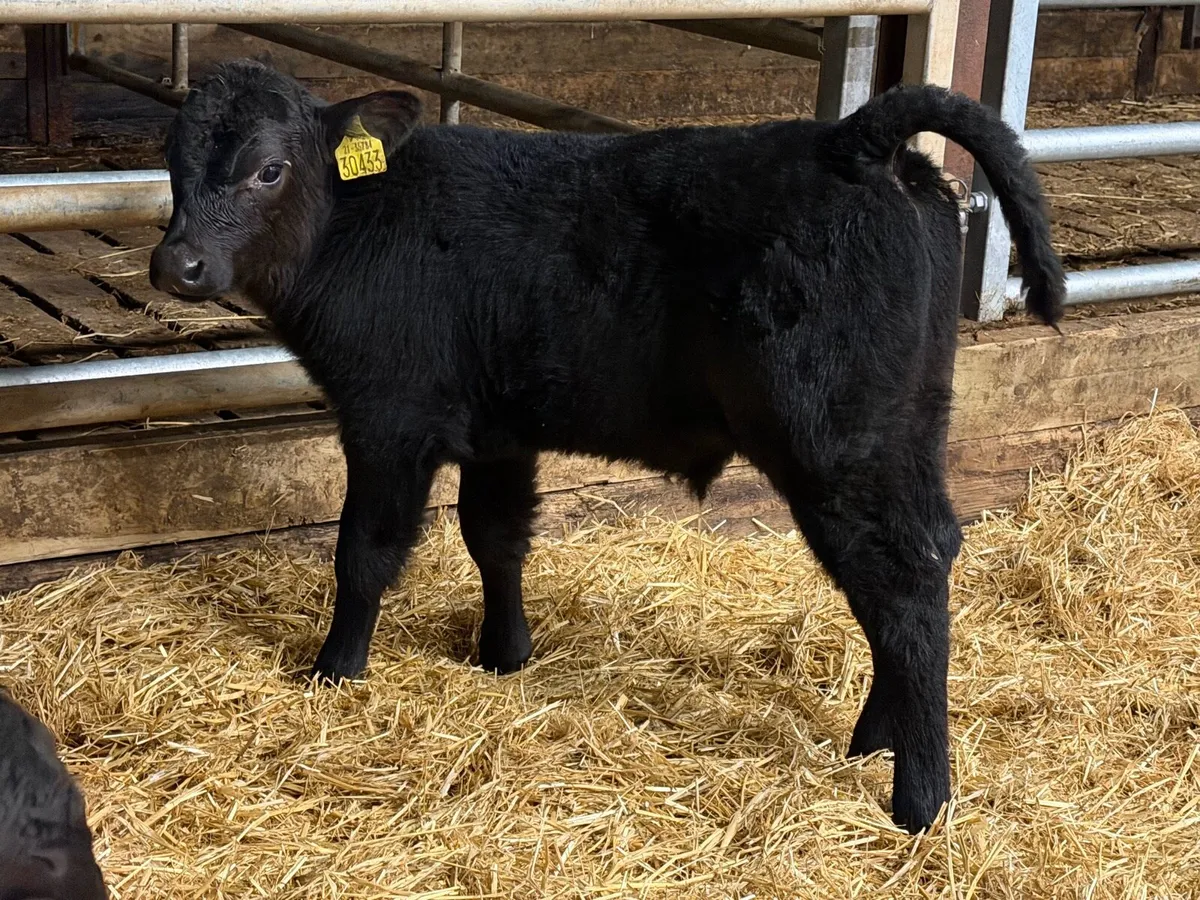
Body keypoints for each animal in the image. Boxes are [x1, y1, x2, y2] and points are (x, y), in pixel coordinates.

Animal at [150, 59, 1064, 833]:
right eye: (171, 161)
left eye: (269, 169)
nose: (177, 264)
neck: (356, 220)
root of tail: (850, 140)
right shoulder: (499, 428)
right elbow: (496, 538)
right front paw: (505, 655)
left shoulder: (388, 417)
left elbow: (364, 554)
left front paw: (335, 669)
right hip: (911, 429)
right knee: (925, 557)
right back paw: (874, 736)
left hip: (836, 444)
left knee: (900, 582)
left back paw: (920, 797)